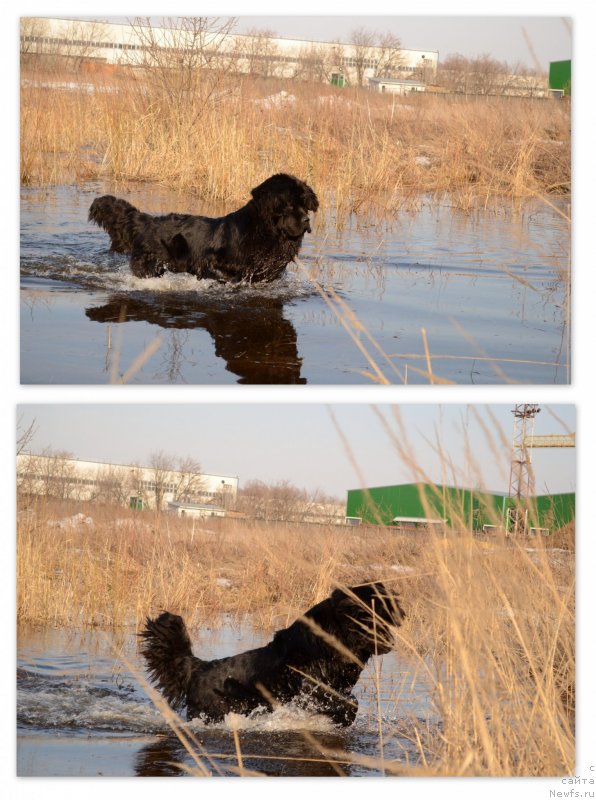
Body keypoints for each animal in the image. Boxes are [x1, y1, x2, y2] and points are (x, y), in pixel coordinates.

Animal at [88, 173, 318, 282]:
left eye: (304, 205)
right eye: (289, 205)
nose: (306, 220)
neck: (264, 232)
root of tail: (145, 220)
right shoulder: (213, 262)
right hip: (149, 264)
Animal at [139, 580, 406, 724]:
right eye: (372, 610)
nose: (400, 611)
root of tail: (198, 667)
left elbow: (349, 700)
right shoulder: (312, 688)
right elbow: (348, 703)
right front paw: (341, 719)